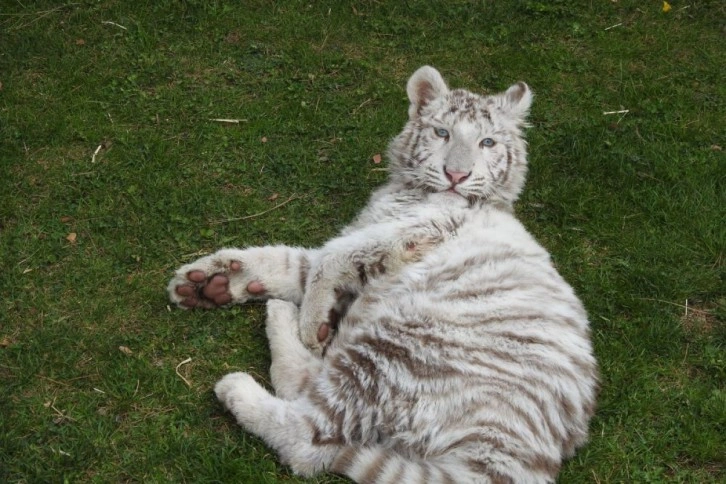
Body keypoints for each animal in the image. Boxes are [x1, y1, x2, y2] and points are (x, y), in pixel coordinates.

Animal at [169, 67, 596, 484]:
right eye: (442, 133)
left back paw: (246, 375)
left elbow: (328, 260)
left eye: (487, 142)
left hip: (397, 348)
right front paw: (207, 282)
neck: (408, 192)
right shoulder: (371, 234)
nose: (456, 175)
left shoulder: (416, 233)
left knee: (307, 437)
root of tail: (508, 456)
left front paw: (311, 323)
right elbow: (292, 262)